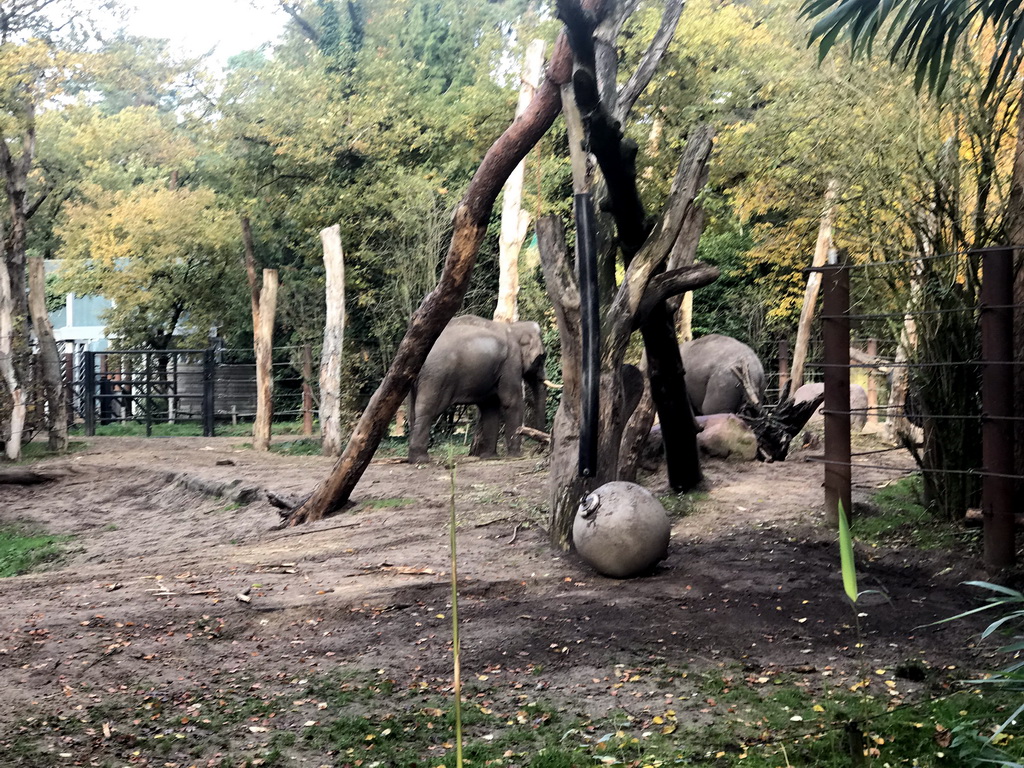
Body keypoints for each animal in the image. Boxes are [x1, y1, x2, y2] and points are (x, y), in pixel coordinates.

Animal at [405, 317, 548, 466]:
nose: (539, 449)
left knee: (412, 412)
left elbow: (490, 407)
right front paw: (516, 456)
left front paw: (489, 457)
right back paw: (421, 460)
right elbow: (511, 402)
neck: (515, 327)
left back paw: (413, 458)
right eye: (542, 357)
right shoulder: (510, 363)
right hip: (436, 376)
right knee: (427, 410)